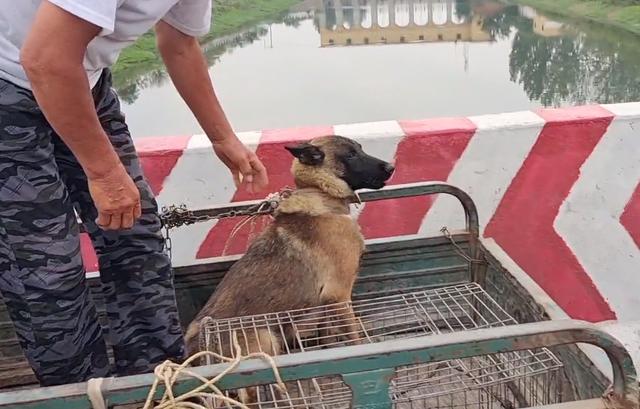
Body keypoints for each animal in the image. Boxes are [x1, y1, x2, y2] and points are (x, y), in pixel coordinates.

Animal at [182, 135, 396, 404]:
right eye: (350, 155)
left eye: (360, 148)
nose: (391, 167)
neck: (320, 192)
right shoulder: (339, 295)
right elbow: (355, 338)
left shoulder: (327, 303)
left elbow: (327, 335)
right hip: (265, 338)